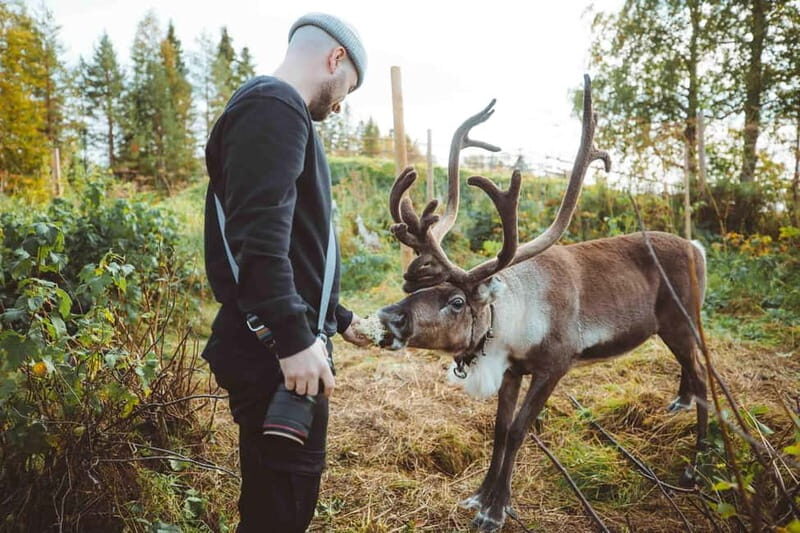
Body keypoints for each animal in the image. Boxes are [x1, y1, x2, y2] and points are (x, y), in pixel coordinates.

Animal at [375, 76, 708, 531]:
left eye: (457, 300)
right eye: (423, 285)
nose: (389, 316)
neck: (515, 319)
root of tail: (697, 248)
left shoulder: (555, 365)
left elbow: (518, 431)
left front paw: (495, 510)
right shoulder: (513, 370)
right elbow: (499, 429)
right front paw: (479, 496)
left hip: (681, 321)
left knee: (705, 379)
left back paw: (696, 468)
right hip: (673, 329)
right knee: (690, 371)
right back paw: (680, 403)